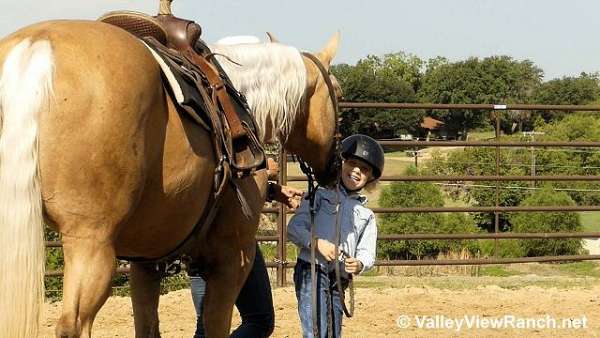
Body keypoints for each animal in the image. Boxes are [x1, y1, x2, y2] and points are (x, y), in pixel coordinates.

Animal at [0, 19, 340, 338]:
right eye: (337, 91)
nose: (334, 167)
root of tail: (36, 47)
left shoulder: (146, 262)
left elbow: (148, 326)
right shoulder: (232, 258)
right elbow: (215, 325)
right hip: (91, 244)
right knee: (74, 324)